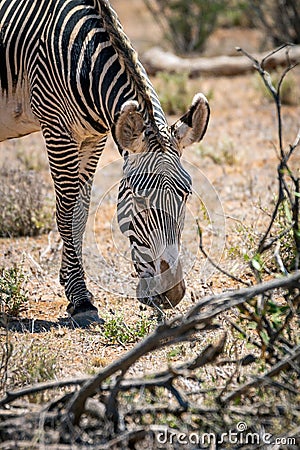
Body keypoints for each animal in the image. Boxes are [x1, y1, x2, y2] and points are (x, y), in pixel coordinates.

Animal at [0, 0, 209, 326]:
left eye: (186, 194)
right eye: (138, 198)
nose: (171, 294)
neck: (82, 59)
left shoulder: (93, 138)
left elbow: (81, 214)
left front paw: (72, 288)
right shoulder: (58, 131)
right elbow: (66, 213)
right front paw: (82, 300)